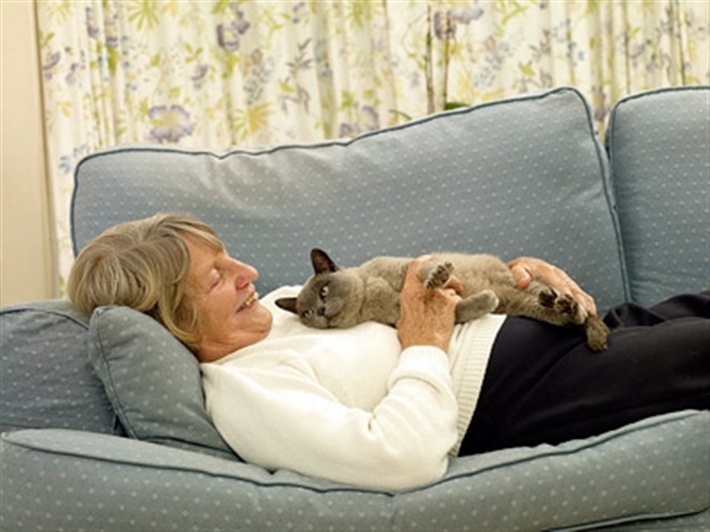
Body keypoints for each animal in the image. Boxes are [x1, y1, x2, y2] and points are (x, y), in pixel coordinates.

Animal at [276, 247, 612, 352]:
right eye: (306, 314)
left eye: (324, 290)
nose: (320, 311)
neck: (372, 297)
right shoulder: (401, 315)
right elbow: (460, 309)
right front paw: (485, 301)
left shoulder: (408, 266)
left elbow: (428, 272)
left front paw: (438, 277)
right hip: (523, 305)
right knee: (568, 316)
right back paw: (561, 305)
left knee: (586, 316)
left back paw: (568, 303)